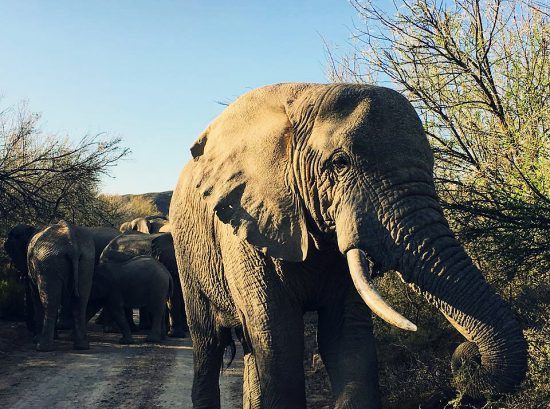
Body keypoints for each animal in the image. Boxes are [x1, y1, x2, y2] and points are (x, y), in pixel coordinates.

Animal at [169, 83, 532, 408]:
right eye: (340, 163)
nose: (467, 355)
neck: (304, 96)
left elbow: (346, 339)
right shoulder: (246, 233)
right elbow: (278, 337)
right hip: (187, 255)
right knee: (209, 344)